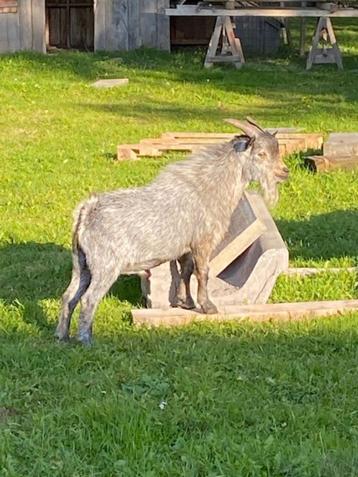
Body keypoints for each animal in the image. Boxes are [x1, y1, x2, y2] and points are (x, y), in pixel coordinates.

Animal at [56, 118, 290, 342]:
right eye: (261, 154)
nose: (284, 171)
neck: (209, 188)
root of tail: (87, 211)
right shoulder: (203, 241)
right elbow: (202, 272)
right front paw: (208, 306)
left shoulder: (185, 248)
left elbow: (185, 272)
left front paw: (185, 302)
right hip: (106, 266)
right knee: (88, 299)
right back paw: (85, 339)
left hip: (81, 263)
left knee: (69, 296)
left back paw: (62, 336)